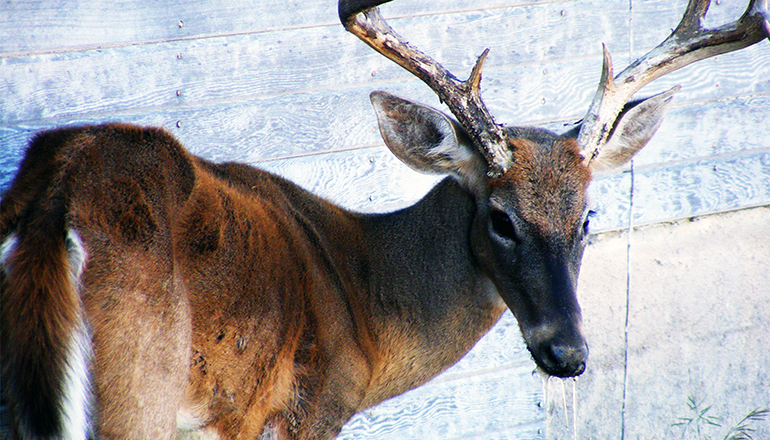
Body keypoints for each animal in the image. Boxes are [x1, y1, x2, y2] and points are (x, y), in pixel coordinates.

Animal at [1, 0, 768, 438]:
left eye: (588, 215)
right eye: (500, 218)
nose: (568, 353)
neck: (365, 306)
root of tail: (57, 202)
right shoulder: (305, 410)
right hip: (140, 384)